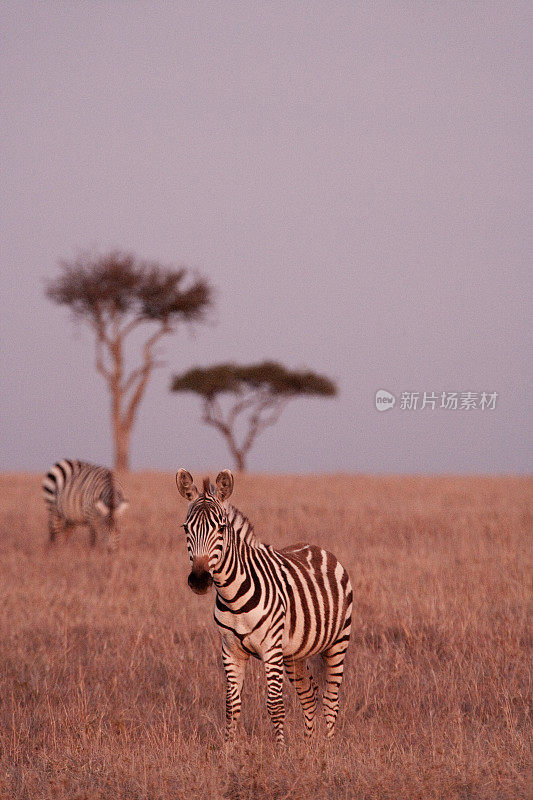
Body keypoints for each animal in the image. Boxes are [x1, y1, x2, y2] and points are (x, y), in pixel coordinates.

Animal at [176, 468, 354, 744]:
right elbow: (231, 704)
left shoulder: (271, 648)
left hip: (338, 643)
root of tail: (318, 548)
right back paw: (309, 746)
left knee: (330, 699)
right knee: (308, 694)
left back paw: (328, 745)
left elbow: (275, 704)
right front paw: (228, 748)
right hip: (294, 653)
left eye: (221, 528)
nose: (199, 579)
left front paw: (280, 749)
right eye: (186, 528)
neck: (233, 597)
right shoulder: (230, 650)